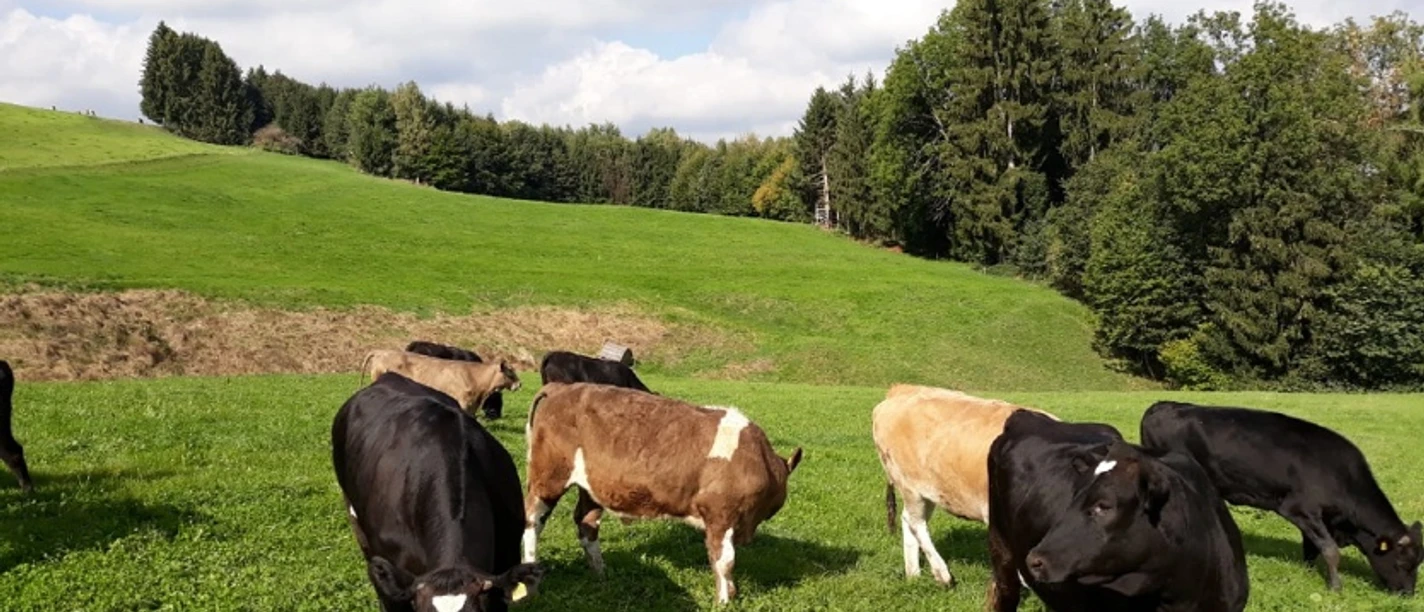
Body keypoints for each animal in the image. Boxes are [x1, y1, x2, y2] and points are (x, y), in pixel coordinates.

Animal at [520, 382, 802, 605]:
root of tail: (560, 387)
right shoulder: (720, 515)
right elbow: (724, 560)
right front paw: (724, 600)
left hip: (590, 488)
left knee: (586, 524)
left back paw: (601, 574)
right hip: (548, 479)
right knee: (533, 521)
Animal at [870, 383, 1058, 587]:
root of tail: (901, 389)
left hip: (929, 490)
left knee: (908, 520)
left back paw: (913, 573)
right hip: (909, 485)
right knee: (916, 523)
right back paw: (942, 574)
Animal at [1140, 400, 1422, 595]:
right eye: (1403, 563)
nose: (1408, 594)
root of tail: (1163, 405)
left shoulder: (1315, 517)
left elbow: (1311, 547)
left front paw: (1308, 572)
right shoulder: (1299, 508)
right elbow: (1330, 550)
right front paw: (1335, 587)